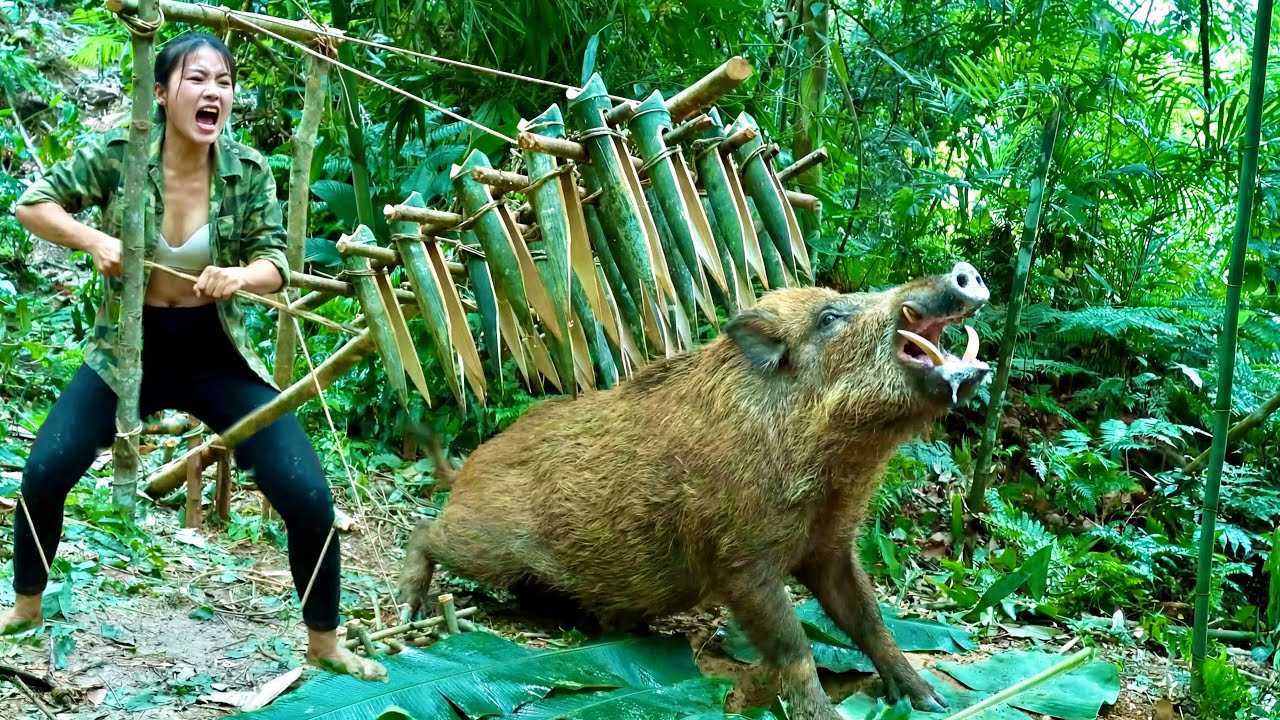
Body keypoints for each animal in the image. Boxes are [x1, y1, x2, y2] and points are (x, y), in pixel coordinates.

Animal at [398, 261, 992, 717]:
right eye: (829, 318)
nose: (963, 275)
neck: (839, 467)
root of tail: (467, 465)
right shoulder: (740, 560)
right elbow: (794, 647)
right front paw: (823, 713)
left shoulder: (830, 549)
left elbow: (870, 622)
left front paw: (931, 701)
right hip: (487, 539)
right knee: (426, 530)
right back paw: (409, 610)